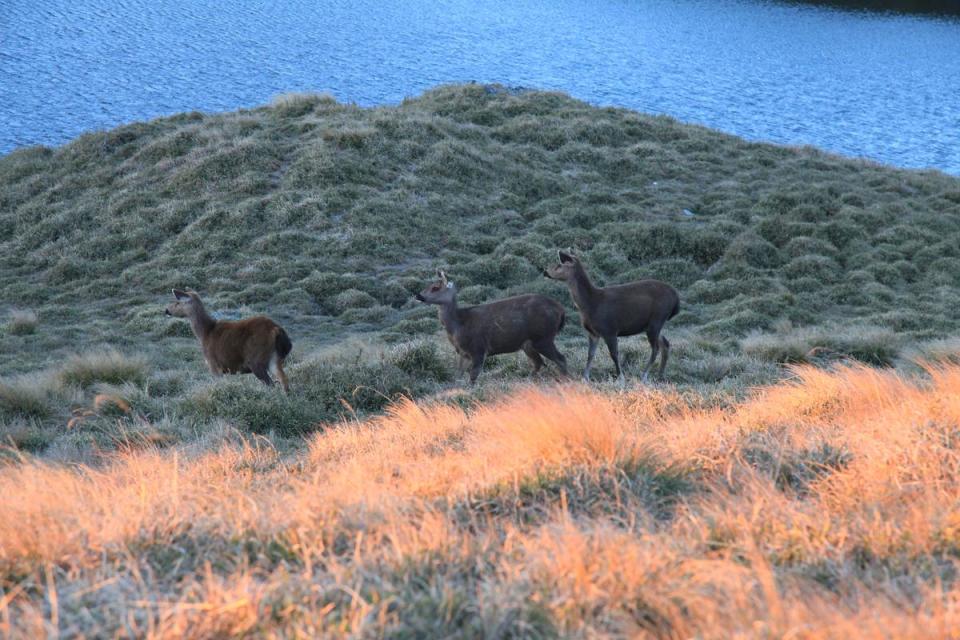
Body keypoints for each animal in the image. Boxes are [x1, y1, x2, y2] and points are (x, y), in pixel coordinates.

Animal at [414, 270, 568, 384]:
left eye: (435, 287)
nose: (418, 295)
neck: (458, 325)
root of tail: (560, 310)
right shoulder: (463, 353)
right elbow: (458, 376)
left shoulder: (478, 348)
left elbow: (473, 377)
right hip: (528, 343)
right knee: (539, 362)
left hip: (543, 337)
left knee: (560, 359)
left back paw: (565, 381)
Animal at [544, 249, 680, 380]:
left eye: (559, 265)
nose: (545, 272)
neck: (591, 304)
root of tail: (676, 298)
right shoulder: (593, 333)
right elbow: (590, 354)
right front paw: (585, 377)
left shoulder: (609, 329)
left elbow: (614, 354)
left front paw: (621, 378)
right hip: (653, 324)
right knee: (665, 343)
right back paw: (660, 375)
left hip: (657, 318)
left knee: (655, 348)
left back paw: (644, 376)